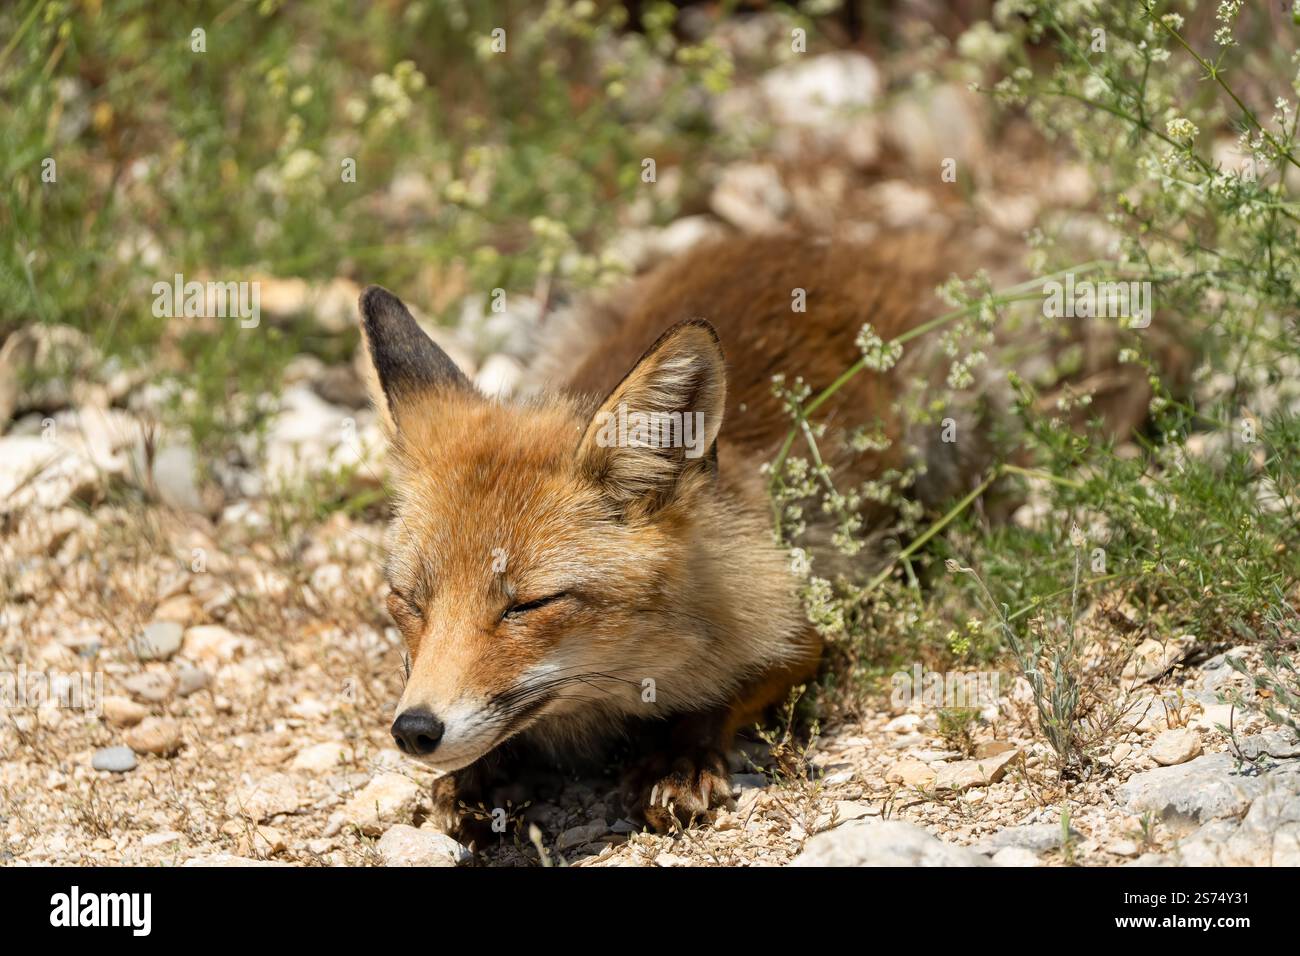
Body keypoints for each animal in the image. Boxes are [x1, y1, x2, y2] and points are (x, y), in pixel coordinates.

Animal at [360, 231, 985, 837]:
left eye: (528, 605)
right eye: (407, 602)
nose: (414, 729)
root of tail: (819, 241)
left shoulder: (797, 631)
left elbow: (720, 696)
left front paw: (679, 759)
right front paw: (480, 776)